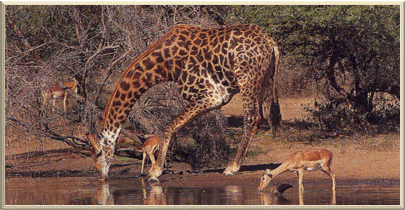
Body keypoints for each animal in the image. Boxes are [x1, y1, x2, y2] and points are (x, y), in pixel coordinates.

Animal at [86, 24, 280, 180]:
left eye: (99, 152)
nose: (102, 175)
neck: (165, 65)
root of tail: (272, 44)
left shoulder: (211, 96)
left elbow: (168, 127)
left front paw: (155, 171)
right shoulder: (212, 97)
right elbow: (171, 126)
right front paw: (156, 169)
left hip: (247, 79)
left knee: (251, 118)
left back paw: (233, 167)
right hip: (263, 81)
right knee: (260, 118)